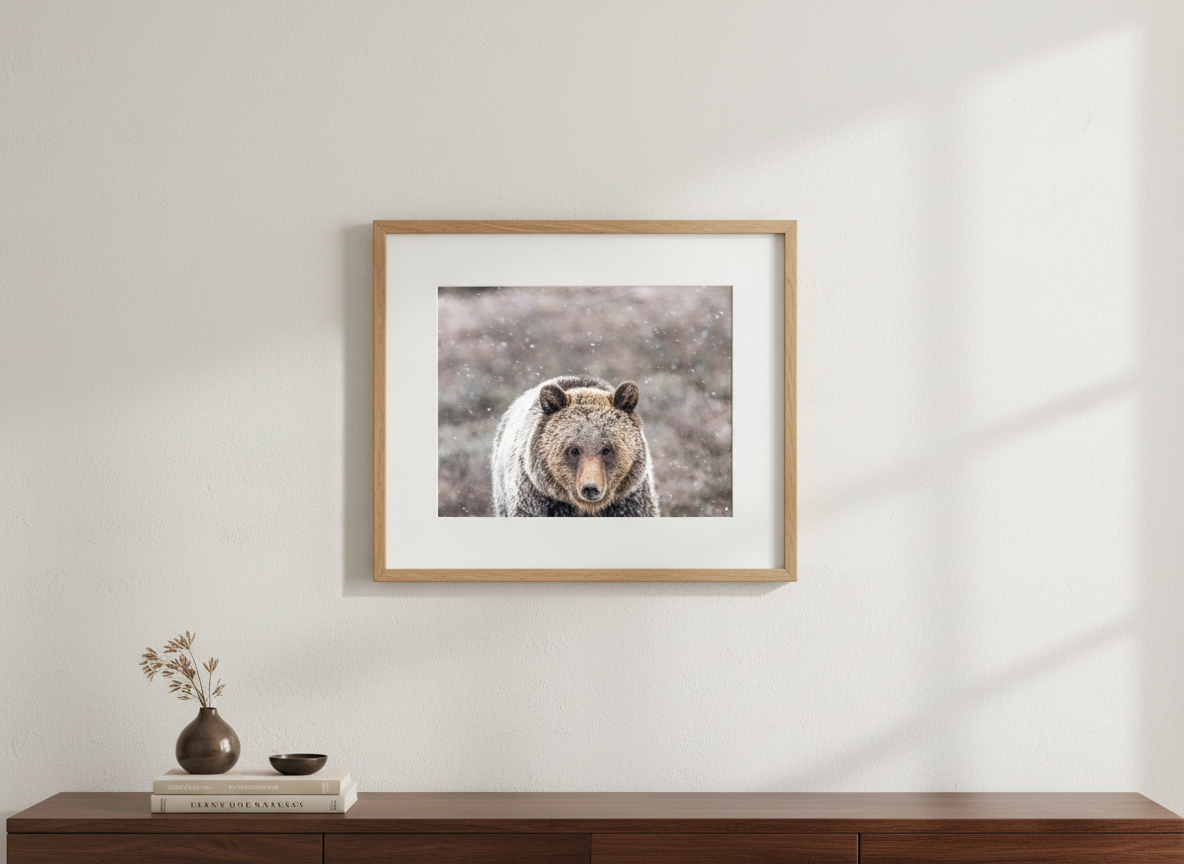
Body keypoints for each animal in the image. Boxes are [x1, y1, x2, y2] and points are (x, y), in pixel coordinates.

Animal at [491, 375, 660, 517]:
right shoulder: (537, 500)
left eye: (606, 449)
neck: (586, 509)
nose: (590, 488)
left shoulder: (630, 502)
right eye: (574, 450)